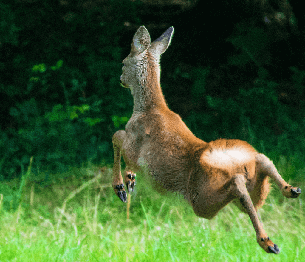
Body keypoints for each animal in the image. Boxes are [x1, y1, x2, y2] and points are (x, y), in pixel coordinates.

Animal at [111, 25, 300, 253]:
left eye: (123, 62)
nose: (120, 79)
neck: (147, 109)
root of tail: (239, 161)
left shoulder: (134, 147)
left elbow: (116, 135)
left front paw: (121, 187)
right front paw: (129, 180)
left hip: (201, 198)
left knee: (236, 184)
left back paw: (267, 241)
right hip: (256, 187)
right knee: (264, 162)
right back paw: (292, 190)